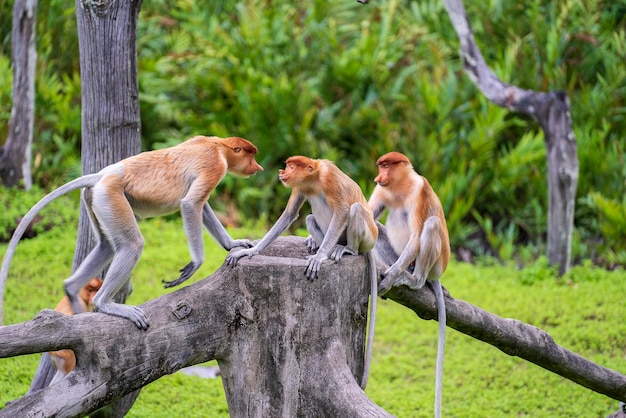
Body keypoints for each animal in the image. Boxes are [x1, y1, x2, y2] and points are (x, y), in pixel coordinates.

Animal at [0, 136, 262, 330]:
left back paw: (73, 292)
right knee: (133, 245)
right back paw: (105, 304)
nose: (258, 168)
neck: (218, 145)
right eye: (251, 154)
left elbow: (201, 206)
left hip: (96, 199)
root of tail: (102, 174)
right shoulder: (213, 166)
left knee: (106, 246)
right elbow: (191, 204)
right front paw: (194, 265)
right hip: (111, 196)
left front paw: (234, 243)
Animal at [227, 156, 378, 388]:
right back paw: (318, 244)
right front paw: (251, 251)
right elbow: (289, 215)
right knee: (309, 218)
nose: (282, 172)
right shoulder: (299, 187)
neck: (313, 180)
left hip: (368, 236)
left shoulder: (329, 178)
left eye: (291, 165)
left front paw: (318, 258)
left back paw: (345, 250)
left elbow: (343, 210)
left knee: (355, 210)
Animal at [366, 152, 448, 418]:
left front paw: (391, 278)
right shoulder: (382, 191)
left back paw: (414, 279)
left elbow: (415, 236)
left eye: (386, 166)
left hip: (435, 265)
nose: (378, 177)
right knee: (377, 229)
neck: (400, 187)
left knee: (430, 224)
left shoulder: (419, 192)